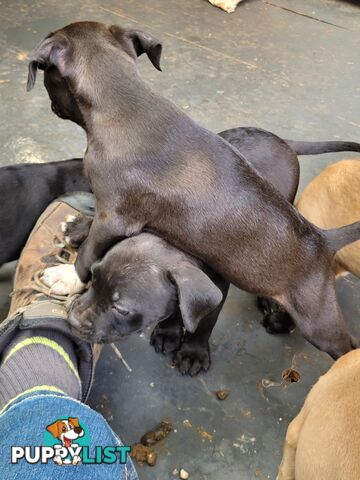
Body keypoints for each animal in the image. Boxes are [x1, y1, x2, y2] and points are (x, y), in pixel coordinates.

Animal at [28, 21, 360, 360]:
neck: (126, 105)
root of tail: (323, 240)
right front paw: (77, 229)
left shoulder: (115, 216)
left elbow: (89, 251)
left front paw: (66, 276)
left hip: (317, 321)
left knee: (345, 345)